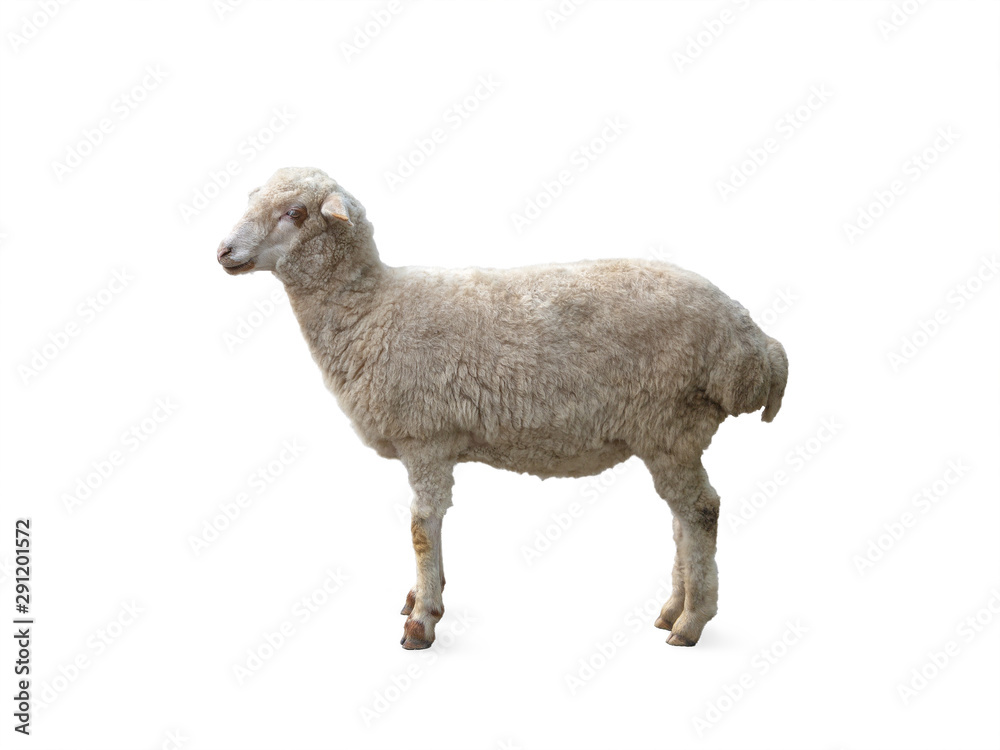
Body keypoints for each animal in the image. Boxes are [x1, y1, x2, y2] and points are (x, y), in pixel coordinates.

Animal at [216, 166, 788, 649]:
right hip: (669, 434)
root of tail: (751, 342)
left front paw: (422, 619)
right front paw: (423, 596)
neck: (371, 308)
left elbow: (421, 527)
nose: (223, 250)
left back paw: (692, 622)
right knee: (681, 517)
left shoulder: (425, 437)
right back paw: (673, 609)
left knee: (701, 511)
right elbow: (430, 528)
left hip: (670, 421)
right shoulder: (434, 443)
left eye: (295, 212)